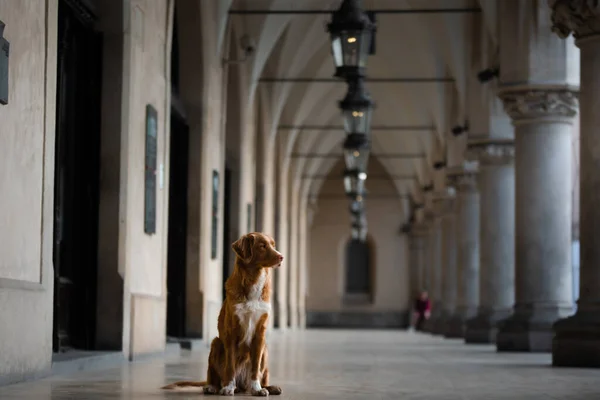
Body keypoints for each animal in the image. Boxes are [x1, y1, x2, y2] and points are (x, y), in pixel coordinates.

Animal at [162, 231, 284, 396]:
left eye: (273, 245)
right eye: (262, 246)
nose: (281, 257)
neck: (253, 279)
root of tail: (242, 385)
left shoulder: (260, 333)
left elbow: (255, 367)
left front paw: (257, 389)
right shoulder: (231, 331)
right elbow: (230, 365)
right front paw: (228, 387)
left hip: (265, 348)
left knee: (260, 375)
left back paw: (269, 387)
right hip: (216, 343)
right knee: (214, 376)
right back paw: (214, 387)